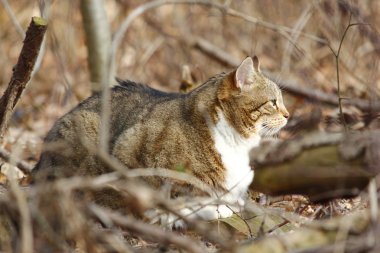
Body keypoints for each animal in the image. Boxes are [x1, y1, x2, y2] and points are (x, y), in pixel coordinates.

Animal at [32, 56, 290, 227]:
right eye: (273, 102)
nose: (288, 115)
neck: (236, 142)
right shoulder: (130, 149)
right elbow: (172, 199)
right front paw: (207, 210)